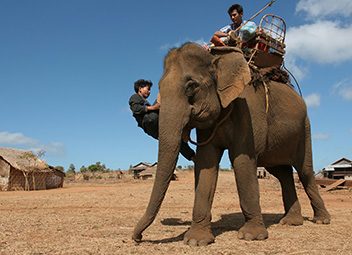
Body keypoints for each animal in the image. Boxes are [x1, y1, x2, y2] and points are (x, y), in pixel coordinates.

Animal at [131, 42, 330, 246]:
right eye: (159, 87)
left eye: (191, 86)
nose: (137, 238)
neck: (216, 58)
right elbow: (206, 161)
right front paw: (196, 241)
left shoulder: (249, 110)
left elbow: (242, 160)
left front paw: (252, 236)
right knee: (282, 173)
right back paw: (291, 222)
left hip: (305, 129)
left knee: (305, 171)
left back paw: (321, 220)